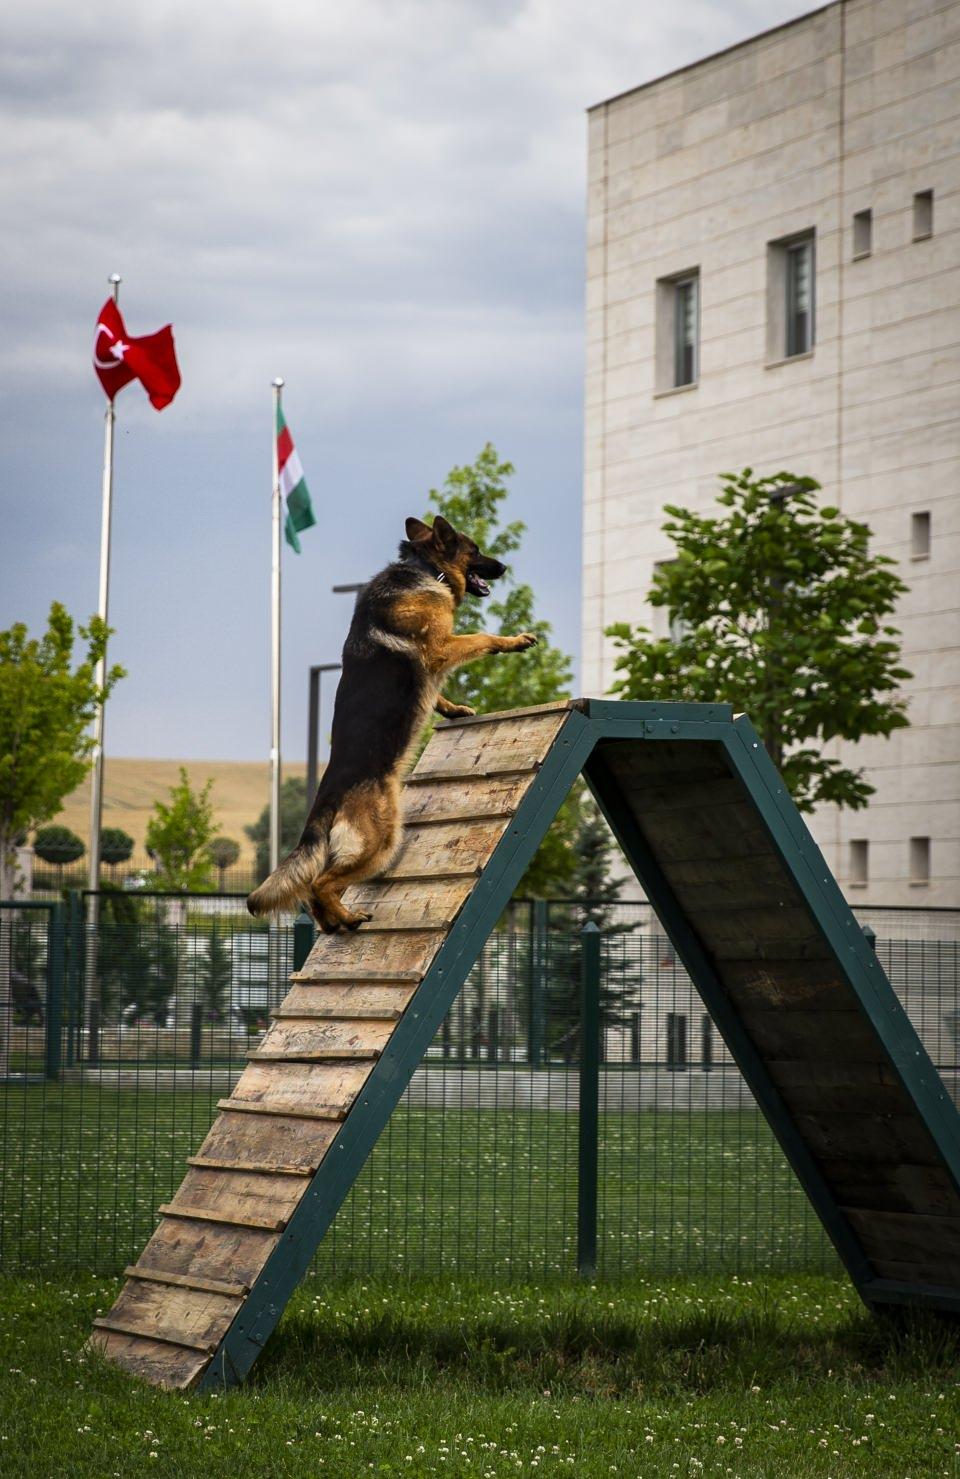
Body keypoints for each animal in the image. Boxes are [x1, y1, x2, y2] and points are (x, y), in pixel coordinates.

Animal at [244, 517, 535, 934]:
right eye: (476, 550)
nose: (504, 567)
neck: (425, 569)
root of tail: (325, 800)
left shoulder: (433, 664)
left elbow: (435, 695)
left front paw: (455, 710)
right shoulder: (441, 646)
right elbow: (481, 637)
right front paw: (514, 640)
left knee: (315, 889)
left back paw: (335, 923)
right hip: (381, 840)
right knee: (320, 882)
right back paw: (349, 917)